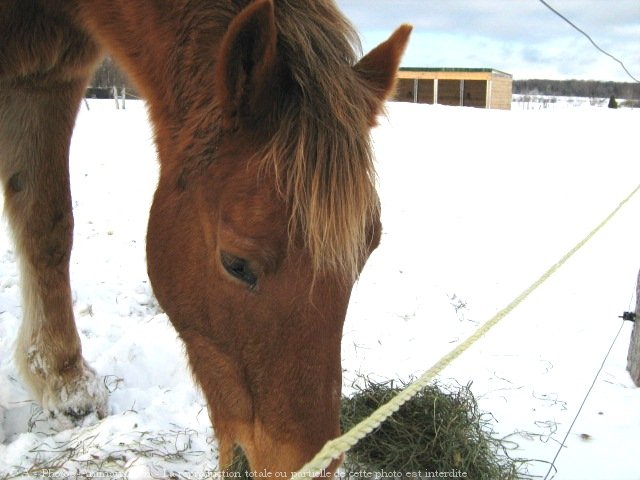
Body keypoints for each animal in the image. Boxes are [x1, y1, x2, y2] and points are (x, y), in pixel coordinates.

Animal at [0, 0, 410, 474]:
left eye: (367, 252)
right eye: (235, 263)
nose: (312, 466)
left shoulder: (49, 76)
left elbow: (48, 226)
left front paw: (65, 383)